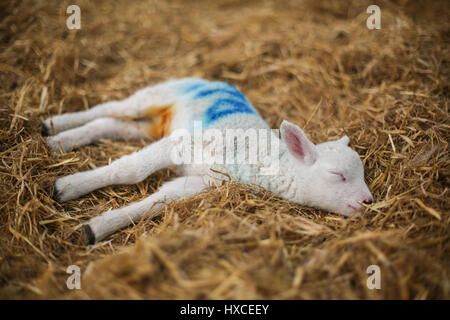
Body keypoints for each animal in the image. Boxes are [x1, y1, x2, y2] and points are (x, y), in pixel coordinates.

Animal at [42, 79, 372, 244]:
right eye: (337, 174)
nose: (368, 202)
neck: (257, 158)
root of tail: (215, 80)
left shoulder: (205, 181)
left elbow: (160, 200)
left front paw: (97, 228)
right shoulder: (184, 144)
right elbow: (131, 170)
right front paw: (66, 187)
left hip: (157, 125)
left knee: (109, 124)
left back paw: (61, 140)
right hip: (158, 94)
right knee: (111, 108)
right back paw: (53, 127)